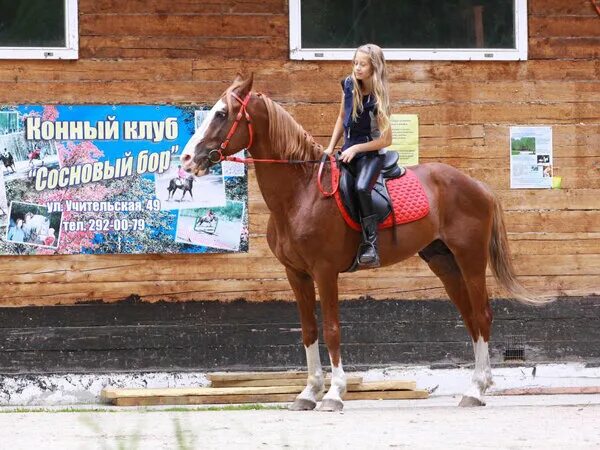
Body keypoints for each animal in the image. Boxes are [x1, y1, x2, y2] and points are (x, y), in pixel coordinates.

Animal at [180, 76, 548, 412]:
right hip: (444, 263)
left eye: (222, 114)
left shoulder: (325, 272)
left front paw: (333, 394)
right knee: (471, 318)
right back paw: (477, 387)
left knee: (483, 315)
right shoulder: (296, 274)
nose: (186, 159)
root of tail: (477, 185)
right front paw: (308, 393)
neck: (300, 194)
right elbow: (309, 331)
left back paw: (476, 389)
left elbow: (331, 329)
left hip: (470, 259)